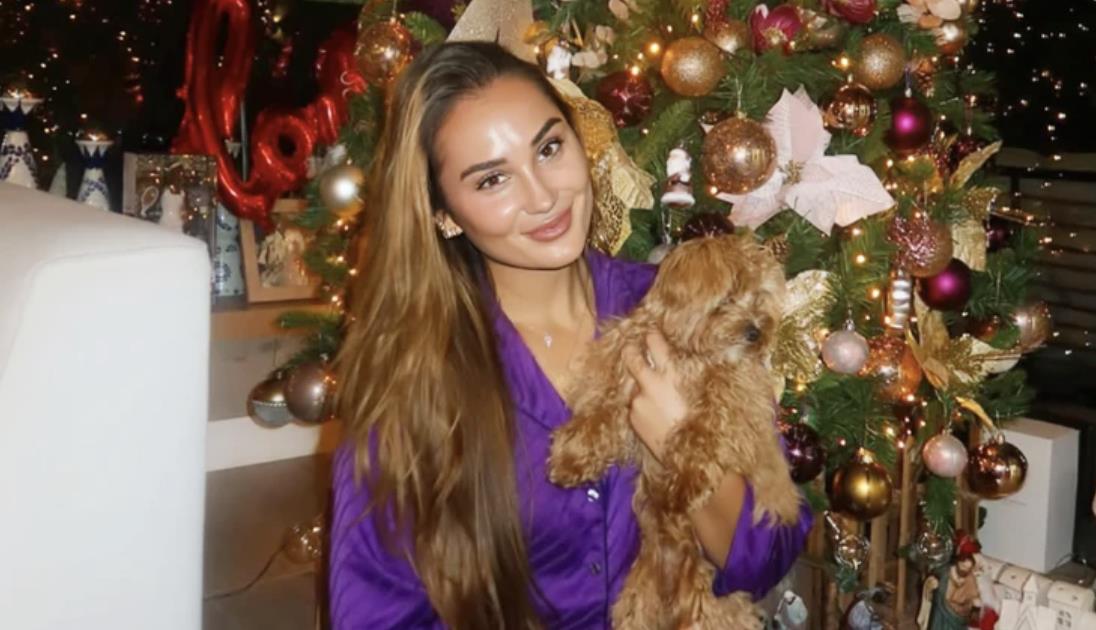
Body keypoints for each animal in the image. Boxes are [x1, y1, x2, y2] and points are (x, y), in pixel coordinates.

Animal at [548, 233, 802, 630]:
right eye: (728, 296)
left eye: (760, 296)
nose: (756, 331)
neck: (689, 354)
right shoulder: (626, 371)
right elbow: (602, 411)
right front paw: (572, 457)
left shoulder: (736, 399)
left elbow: (704, 428)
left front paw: (684, 481)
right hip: (635, 607)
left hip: (714, 611)